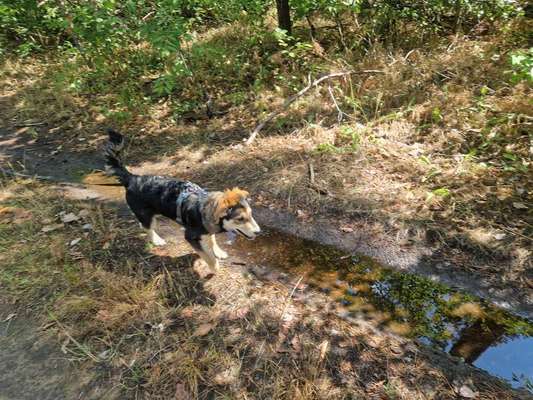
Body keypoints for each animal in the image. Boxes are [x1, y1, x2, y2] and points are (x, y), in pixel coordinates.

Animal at [103, 130, 260, 274]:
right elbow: (207, 256)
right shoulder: (190, 237)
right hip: (146, 214)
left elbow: (212, 240)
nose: (258, 232)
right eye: (240, 219)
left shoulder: (208, 229)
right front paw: (214, 267)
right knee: (147, 227)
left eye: (251, 214)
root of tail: (132, 178)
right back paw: (157, 240)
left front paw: (218, 252)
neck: (204, 209)